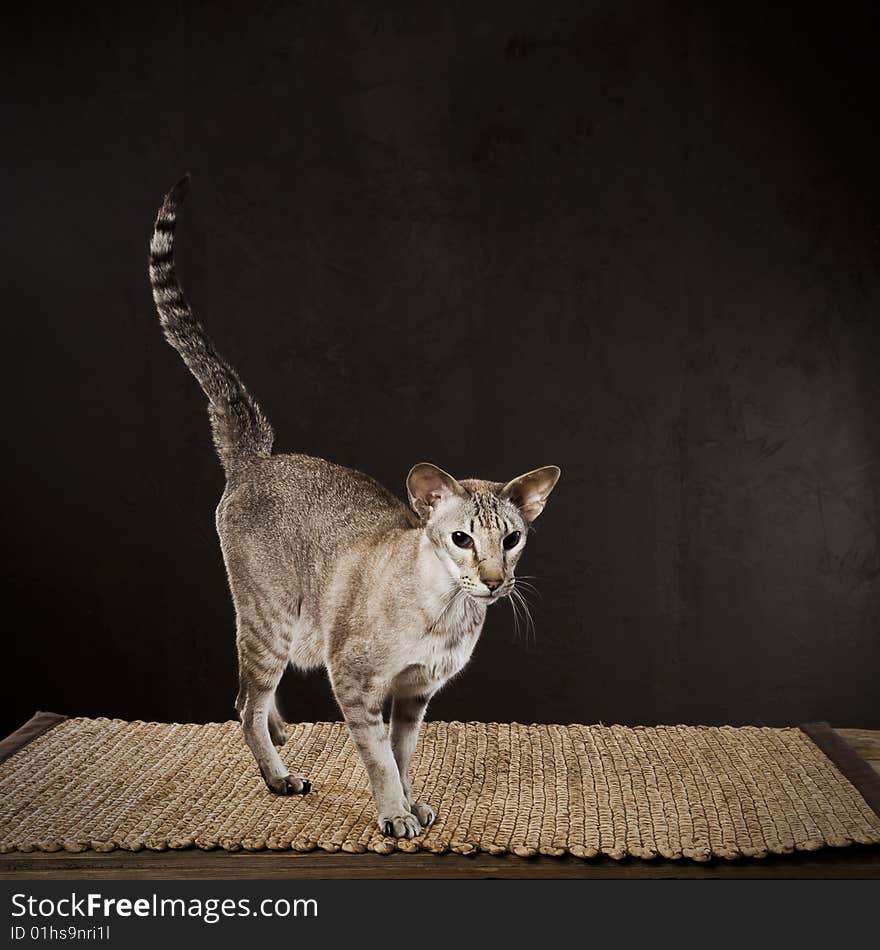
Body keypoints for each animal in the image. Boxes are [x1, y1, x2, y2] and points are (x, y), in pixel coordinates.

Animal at [148, 178, 560, 840]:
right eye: (462, 540)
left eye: (512, 539)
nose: (495, 581)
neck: (447, 614)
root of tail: (256, 458)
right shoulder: (356, 683)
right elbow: (378, 757)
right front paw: (394, 814)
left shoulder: (415, 694)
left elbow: (403, 753)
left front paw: (413, 804)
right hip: (270, 619)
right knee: (244, 703)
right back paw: (278, 775)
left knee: (251, 699)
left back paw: (281, 732)